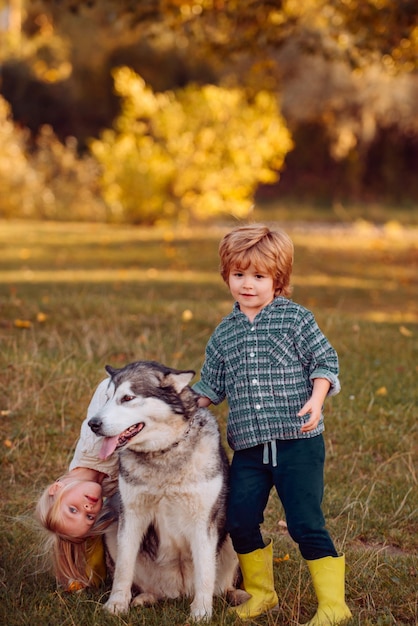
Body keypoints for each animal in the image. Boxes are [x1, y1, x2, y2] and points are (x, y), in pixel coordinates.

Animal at [89, 360, 245, 620]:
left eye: (128, 398)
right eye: (107, 398)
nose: (93, 424)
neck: (163, 453)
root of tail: (179, 592)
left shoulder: (203, 520)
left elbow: (205, 572)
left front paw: (201, 612)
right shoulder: (131, 515)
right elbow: (123, 568)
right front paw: (117, 604)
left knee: (223, 587)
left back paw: (238, 596)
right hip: (111, 527)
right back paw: (144, 598)